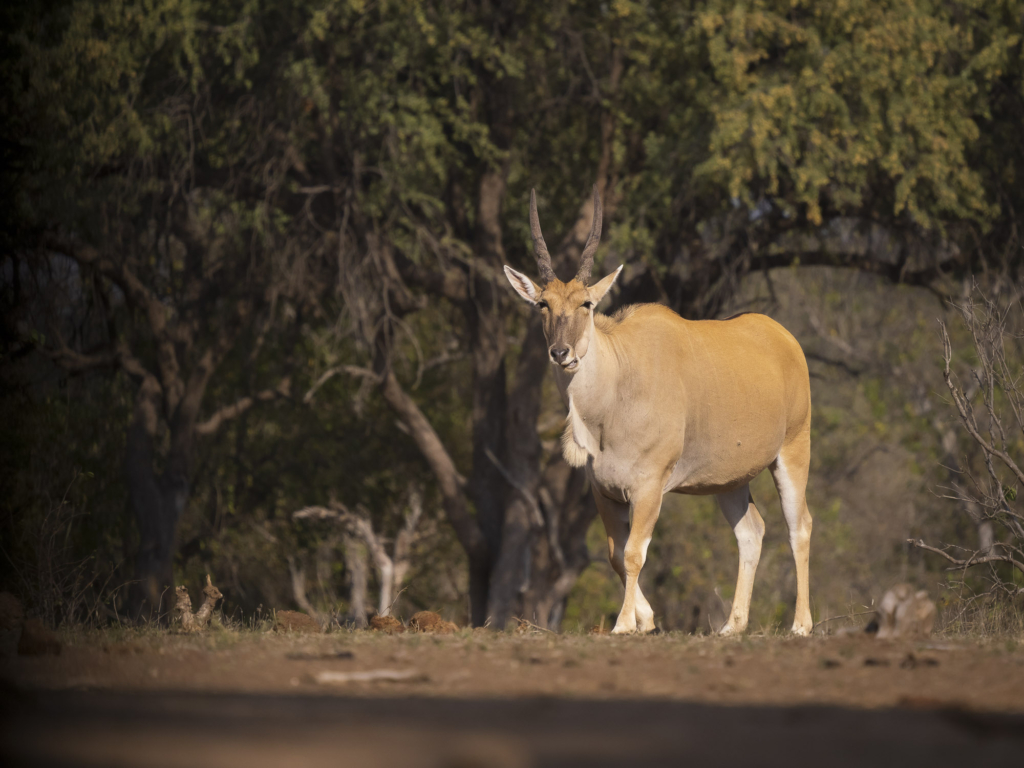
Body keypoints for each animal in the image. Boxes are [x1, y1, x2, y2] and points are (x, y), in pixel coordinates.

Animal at [503, 188, 815, 638]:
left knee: (799, 526)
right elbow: (616, 554)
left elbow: (635, 553)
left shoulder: (649, 488)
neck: (617, 388)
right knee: (751, 532)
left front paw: (623, 625)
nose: (561, 353)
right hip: (729, 481)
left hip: (791, 453)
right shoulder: (604, 493)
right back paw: (732, 626)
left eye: (587, 303)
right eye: (542, 303)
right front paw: (646, 620)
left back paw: (801, 625)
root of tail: (783, 338)